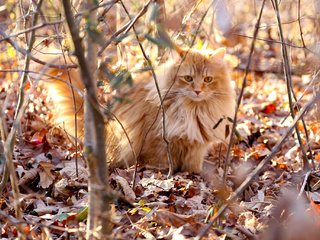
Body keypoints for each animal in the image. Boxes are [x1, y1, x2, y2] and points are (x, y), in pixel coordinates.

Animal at [38, 47, 236, 173]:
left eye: (208, 79)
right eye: (188, 78)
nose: (197, 91)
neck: (193, 110)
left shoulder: (196, 146)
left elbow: (193, 165)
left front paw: (194, 175)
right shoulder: (158, 140)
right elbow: (160, 162)